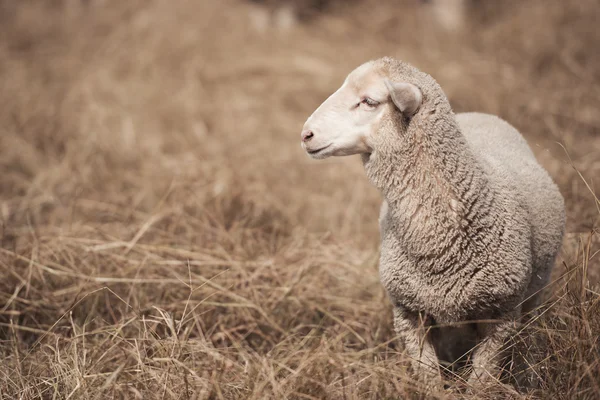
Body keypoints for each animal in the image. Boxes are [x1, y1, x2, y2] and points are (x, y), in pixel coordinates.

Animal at [300, 57, 568, 388]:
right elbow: (428, 377)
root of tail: (479, 113)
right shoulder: (408, 312)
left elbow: (481, 382)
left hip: (533, 296)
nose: (306, 135)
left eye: (369, 101)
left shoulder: (502, 316)